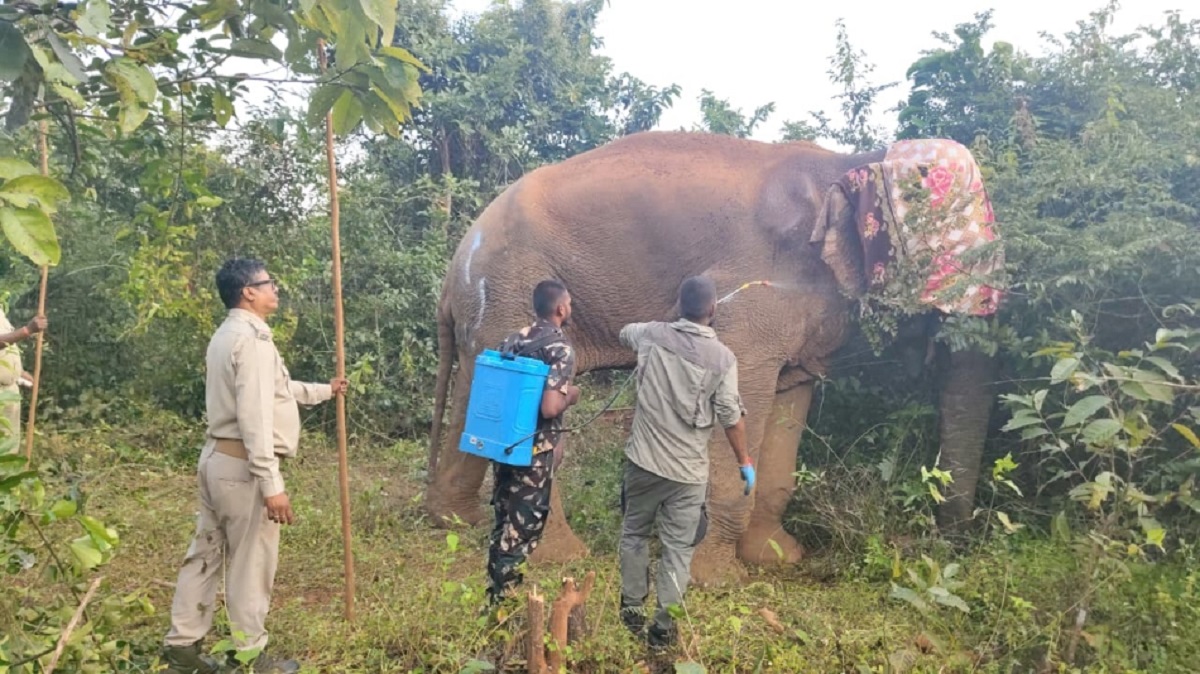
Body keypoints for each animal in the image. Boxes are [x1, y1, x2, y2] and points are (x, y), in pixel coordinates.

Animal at [424, 130, 1001, 586]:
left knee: (474, 399)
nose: (945, 548)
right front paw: (715, 581)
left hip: (491, 312)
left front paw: (778, 558)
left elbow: (789, 401)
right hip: (513, 289)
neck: (851, 160)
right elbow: (739, 399)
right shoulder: (754, 295)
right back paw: (557, 555)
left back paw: (453, 525)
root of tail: (453, 269)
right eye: (939, 246)